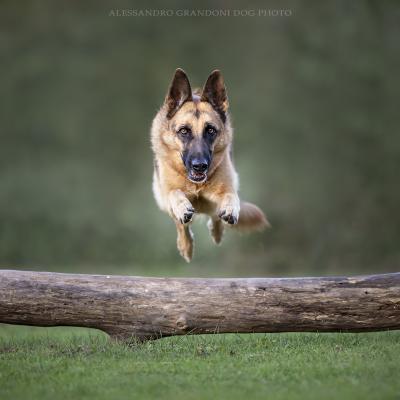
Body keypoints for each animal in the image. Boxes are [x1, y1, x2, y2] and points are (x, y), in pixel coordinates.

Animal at [150, 69, 268, 262]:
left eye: (210, 130)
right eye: (184, 131)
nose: (200, 166)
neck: (196, 185)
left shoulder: (227, 186)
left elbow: (231, 196)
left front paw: (230, 209)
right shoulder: (166, 193)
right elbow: (175, 195)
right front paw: (182, 208)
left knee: (215, 215)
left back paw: (217, 230)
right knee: (182, 224)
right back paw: (186, 246)